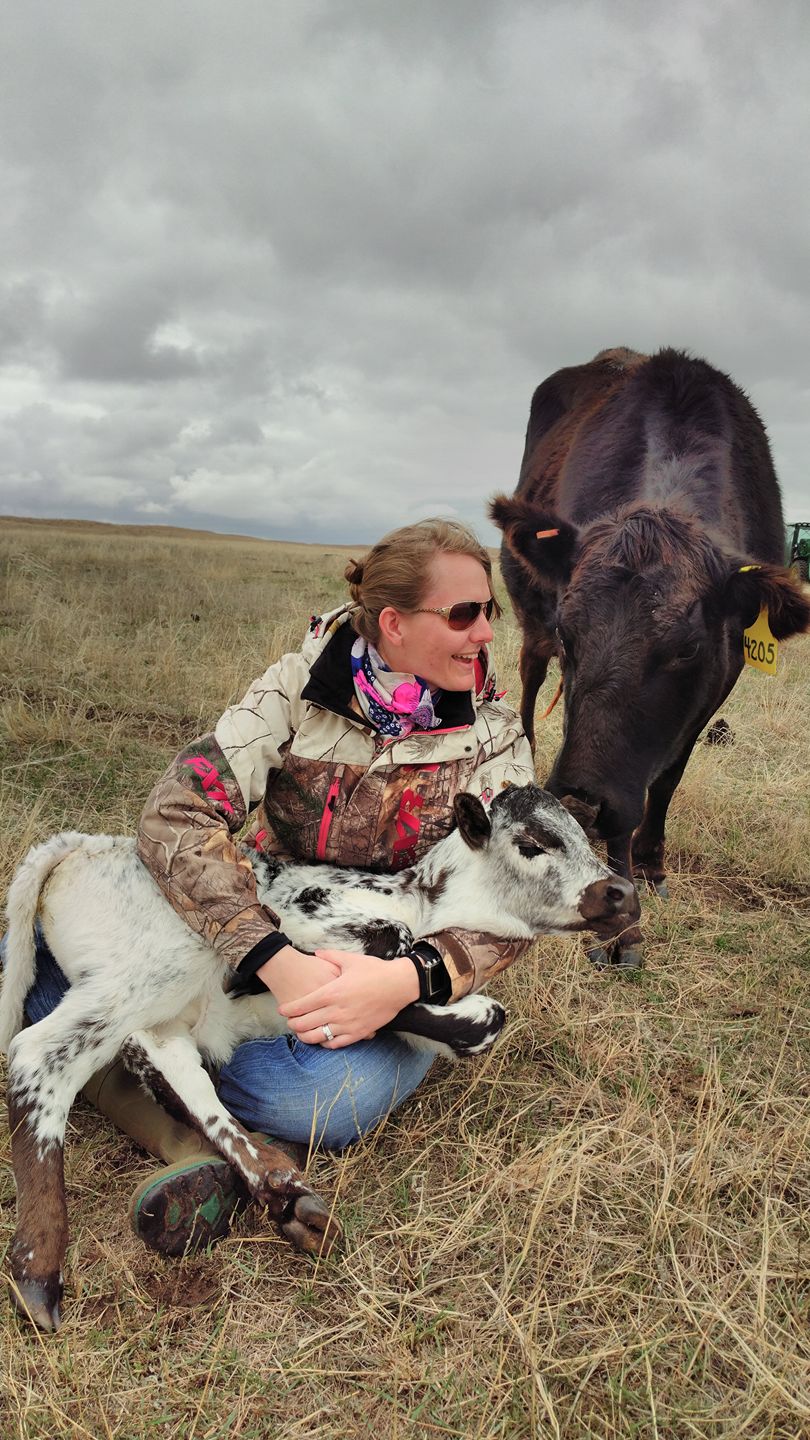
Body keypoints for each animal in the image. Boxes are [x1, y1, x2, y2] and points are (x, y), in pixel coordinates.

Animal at [490, 345, 801, 967]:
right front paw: (620, 922)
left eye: (688, 649)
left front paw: (653, 863)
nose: (579, 803)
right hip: (528, 622)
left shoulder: (721, 678)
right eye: (570, 635)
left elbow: (668, 776)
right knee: (530, 683)